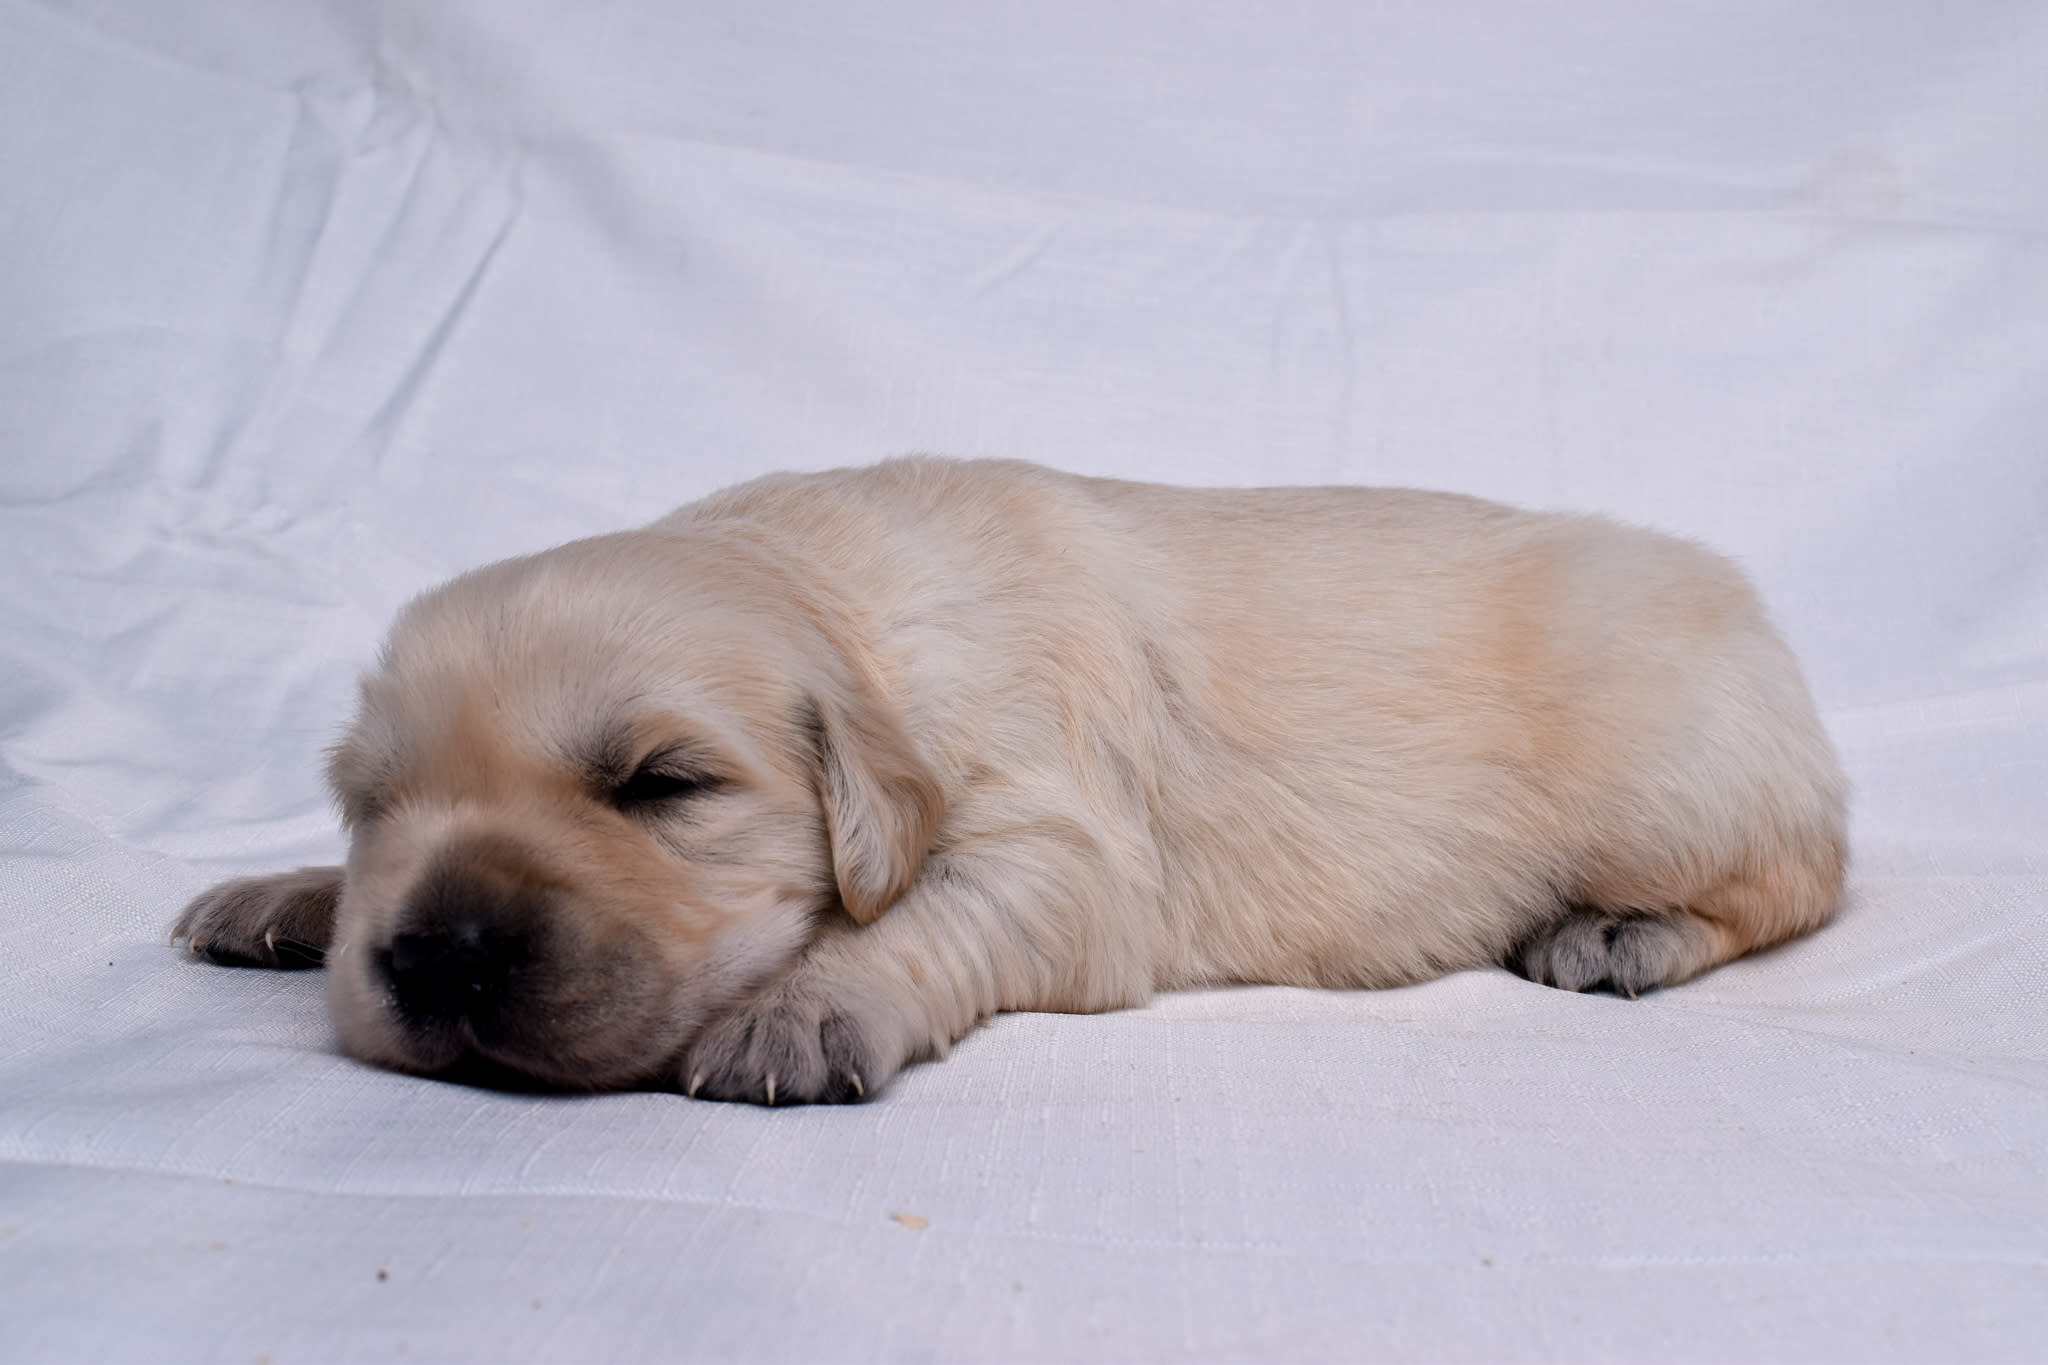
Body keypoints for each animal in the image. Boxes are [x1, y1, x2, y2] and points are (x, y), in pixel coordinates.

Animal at [176, 464, 1851, 1105]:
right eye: (370, 803)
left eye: (662, 783)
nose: (437, 953)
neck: (842, 609)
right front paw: (284, 896)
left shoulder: (1068, 853)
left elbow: (920, 920)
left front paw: (796, 1011)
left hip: (1679, 778)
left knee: (1800, 878)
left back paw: (1617, 932)